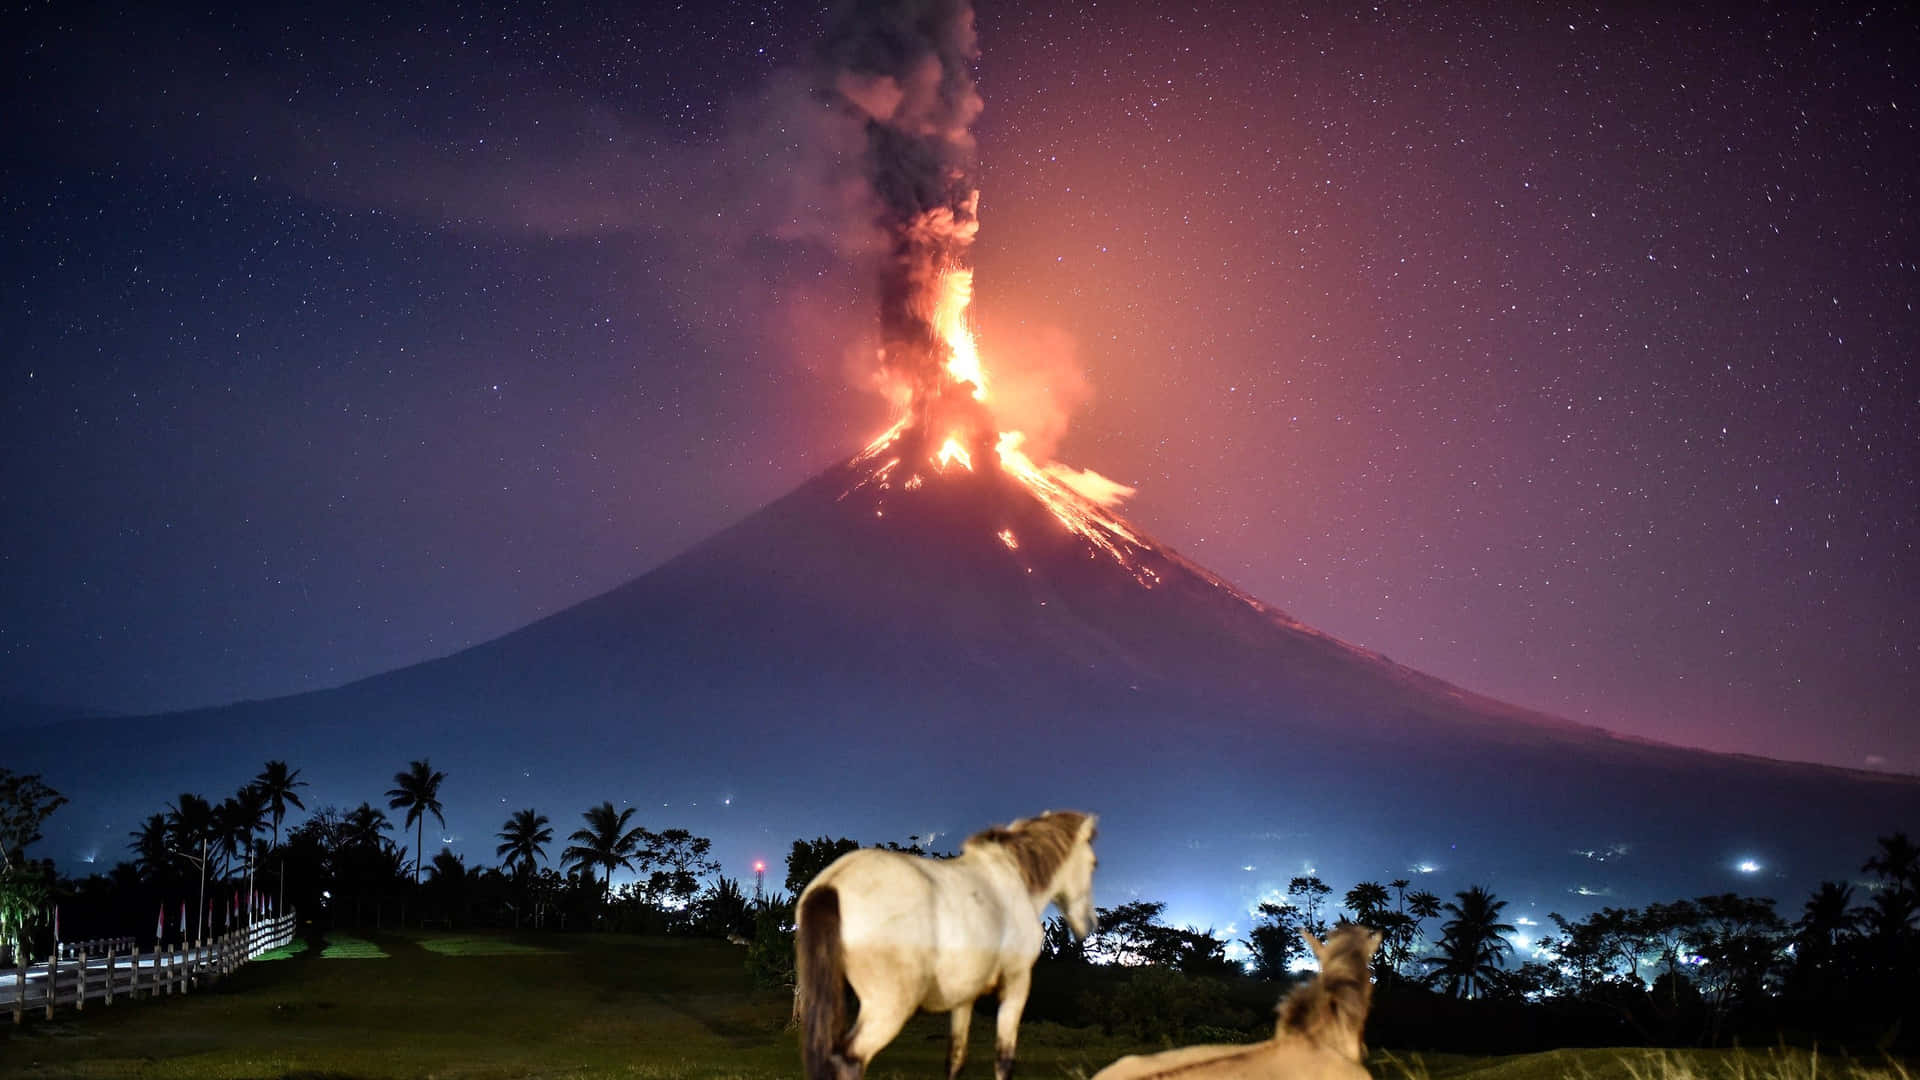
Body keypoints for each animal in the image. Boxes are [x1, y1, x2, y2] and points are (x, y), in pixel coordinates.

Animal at [791, 807, 1098, 1076]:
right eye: (1094, 864)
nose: (1089, 924)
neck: (1011, 875)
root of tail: (832, 883)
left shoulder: (964, 997)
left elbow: (956, 1059)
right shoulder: (1017, 983)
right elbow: (1004, 1061)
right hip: (888, 1008)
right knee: (847, 1063)